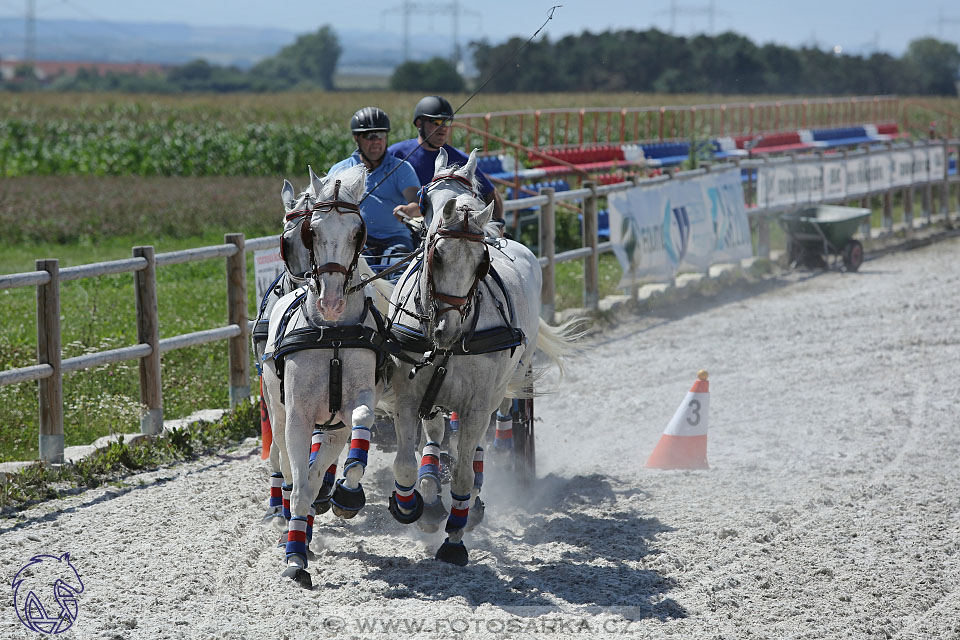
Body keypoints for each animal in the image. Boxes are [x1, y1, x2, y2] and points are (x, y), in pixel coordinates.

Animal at [260, 162, 388, 588]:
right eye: (311, 232)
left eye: (358, 232)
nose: (330, 301)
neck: (331, 332)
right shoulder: (298, 418)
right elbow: (299, 485)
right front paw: (295, 558)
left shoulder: (346, 414)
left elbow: (359, 423)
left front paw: (347, 493)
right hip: (276, 408)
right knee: (285, 465)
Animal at [388, 149, 576, 564]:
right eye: (425, 201)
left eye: (481, 263)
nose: (447, 329)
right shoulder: (408, 396)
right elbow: (406, 462)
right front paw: (413, 506)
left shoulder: (476, 403)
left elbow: (462, 471)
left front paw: (455, 536)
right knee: (438, 436)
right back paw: (432, 491)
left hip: (503, 384)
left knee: (481, 441)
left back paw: (474, 498)